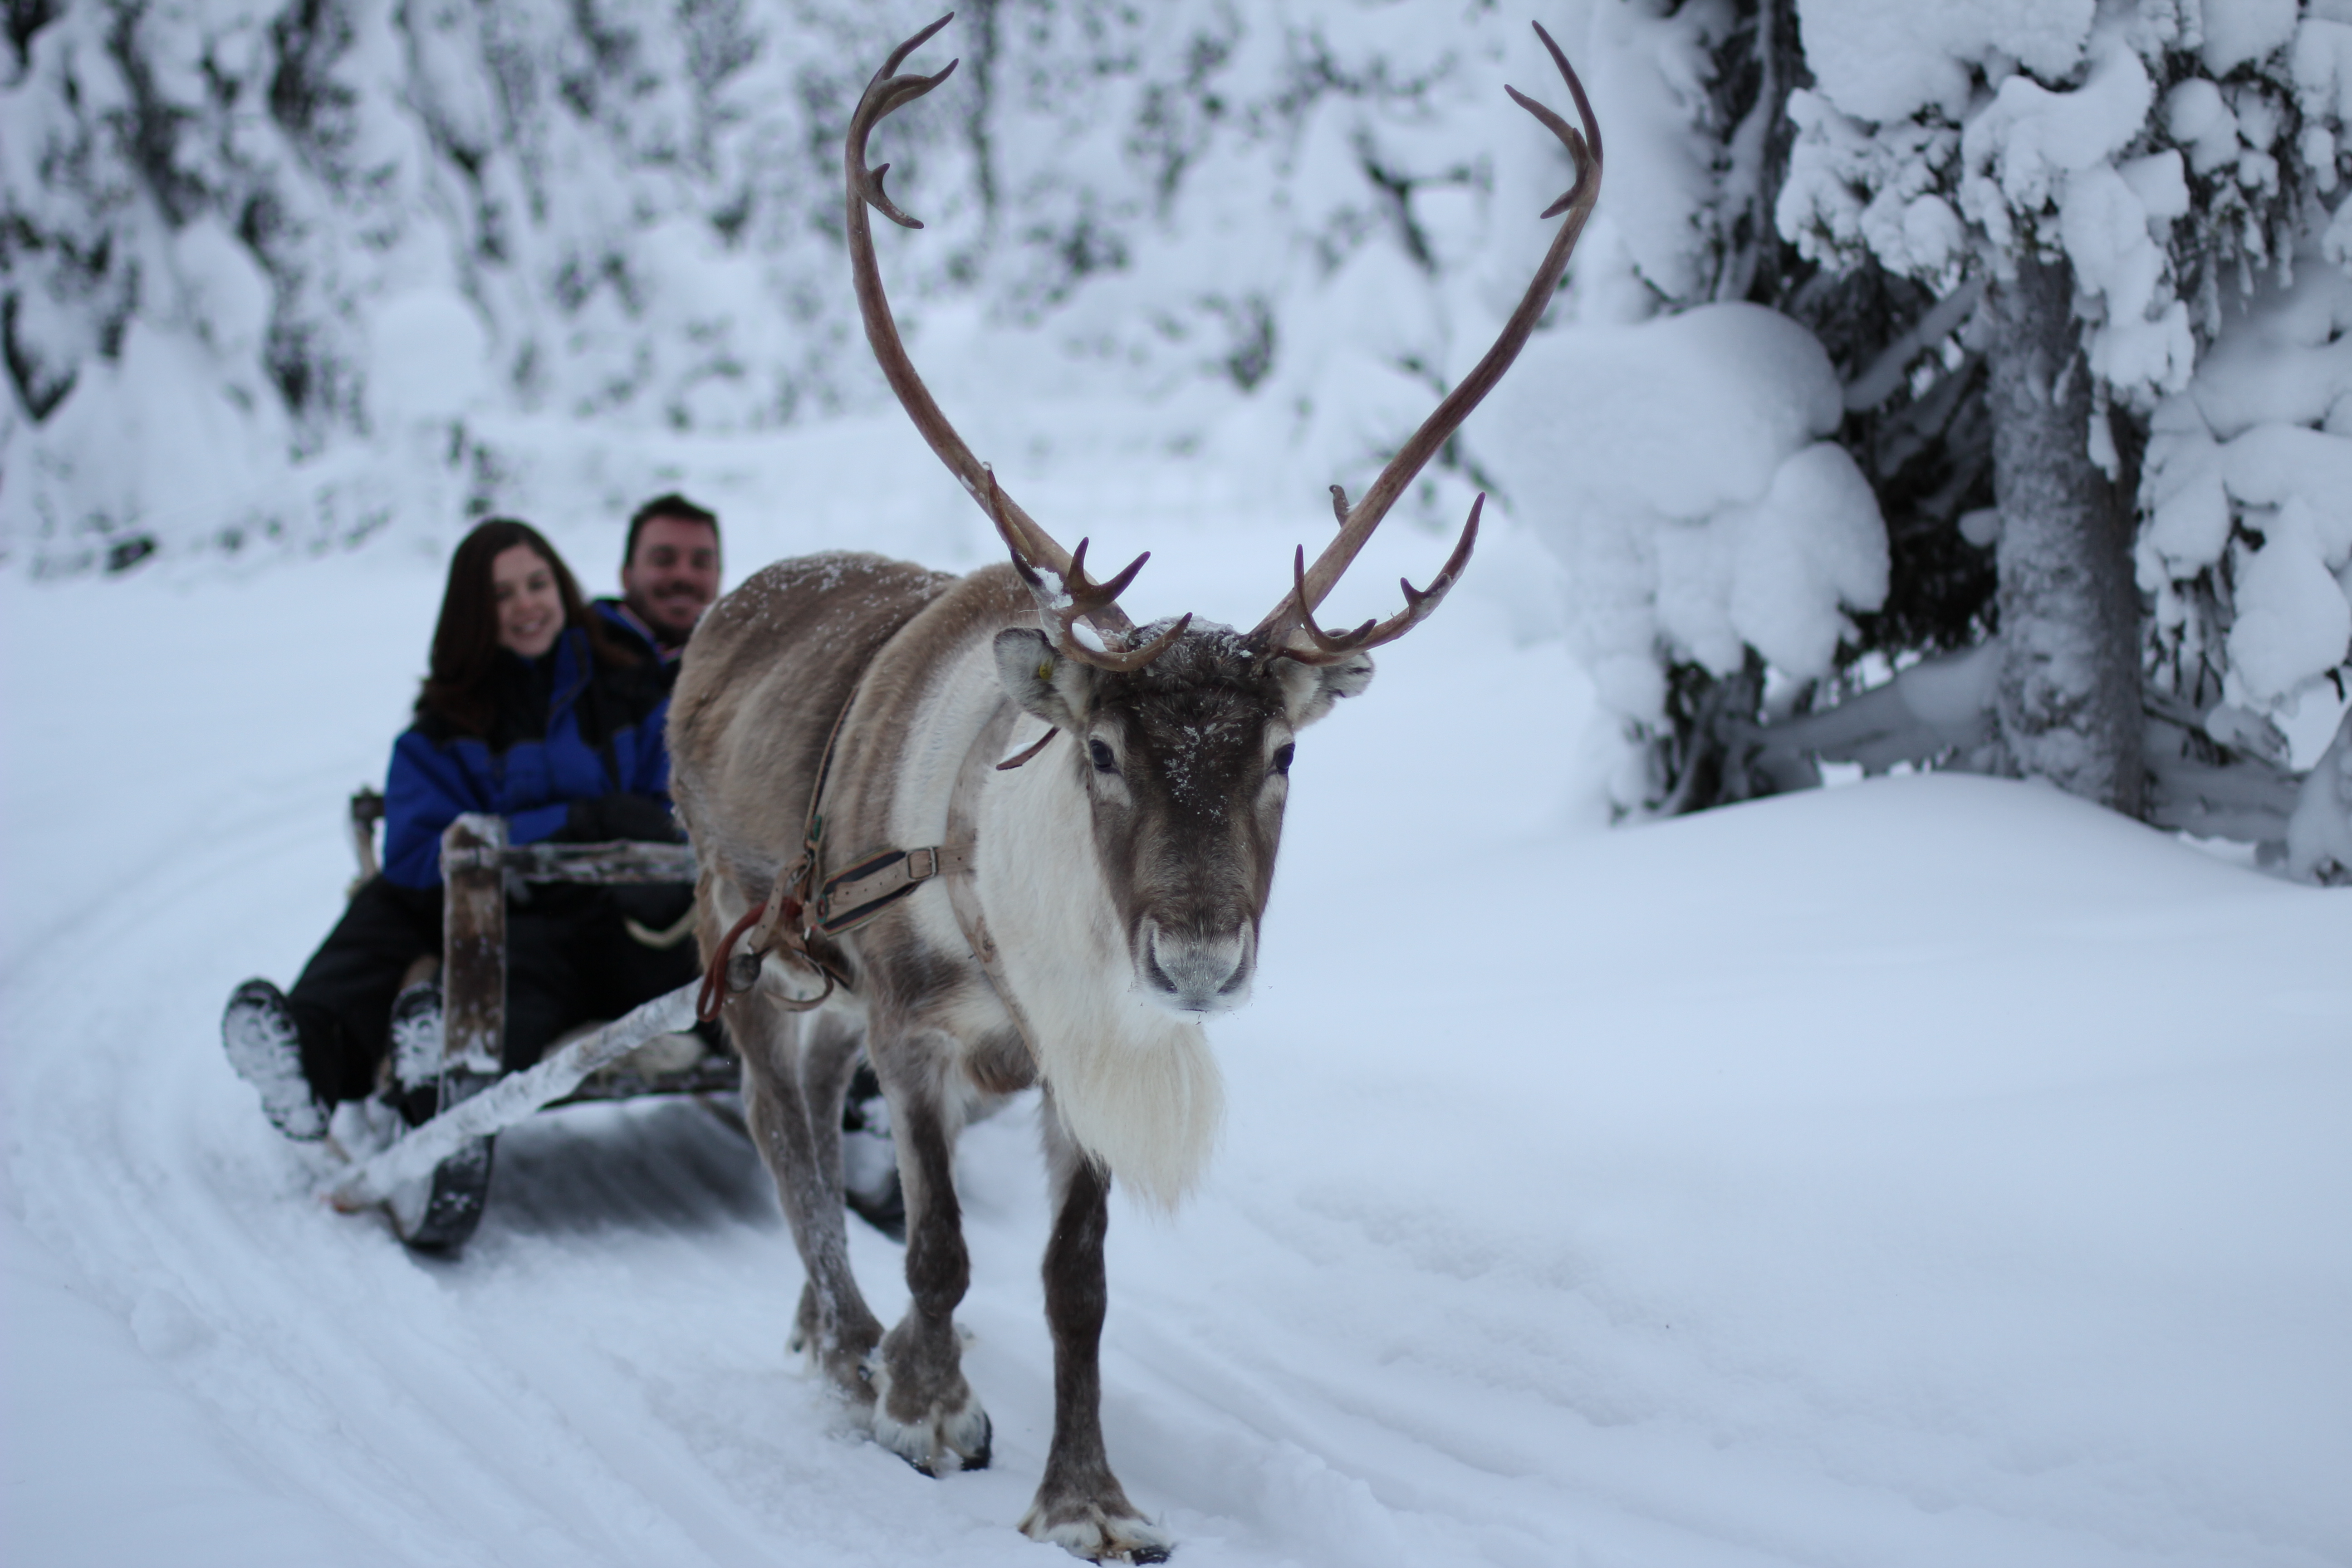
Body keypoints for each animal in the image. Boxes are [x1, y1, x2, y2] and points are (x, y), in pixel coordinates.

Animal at [664, 14, 1600, 1561]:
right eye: (1101, 752)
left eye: (1282, 754)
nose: (1201, 958)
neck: (1000, 896)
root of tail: (730, 608)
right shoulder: (916, 1024)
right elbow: (941, 1244)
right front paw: (928, 1409)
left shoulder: (1076, 1054)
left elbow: (1076, 1283)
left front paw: (1087, 1495)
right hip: (739, 930)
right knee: (773, 1118)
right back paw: (852, 1345)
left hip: (820, 980)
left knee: (806, 1094)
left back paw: (828, 1331)